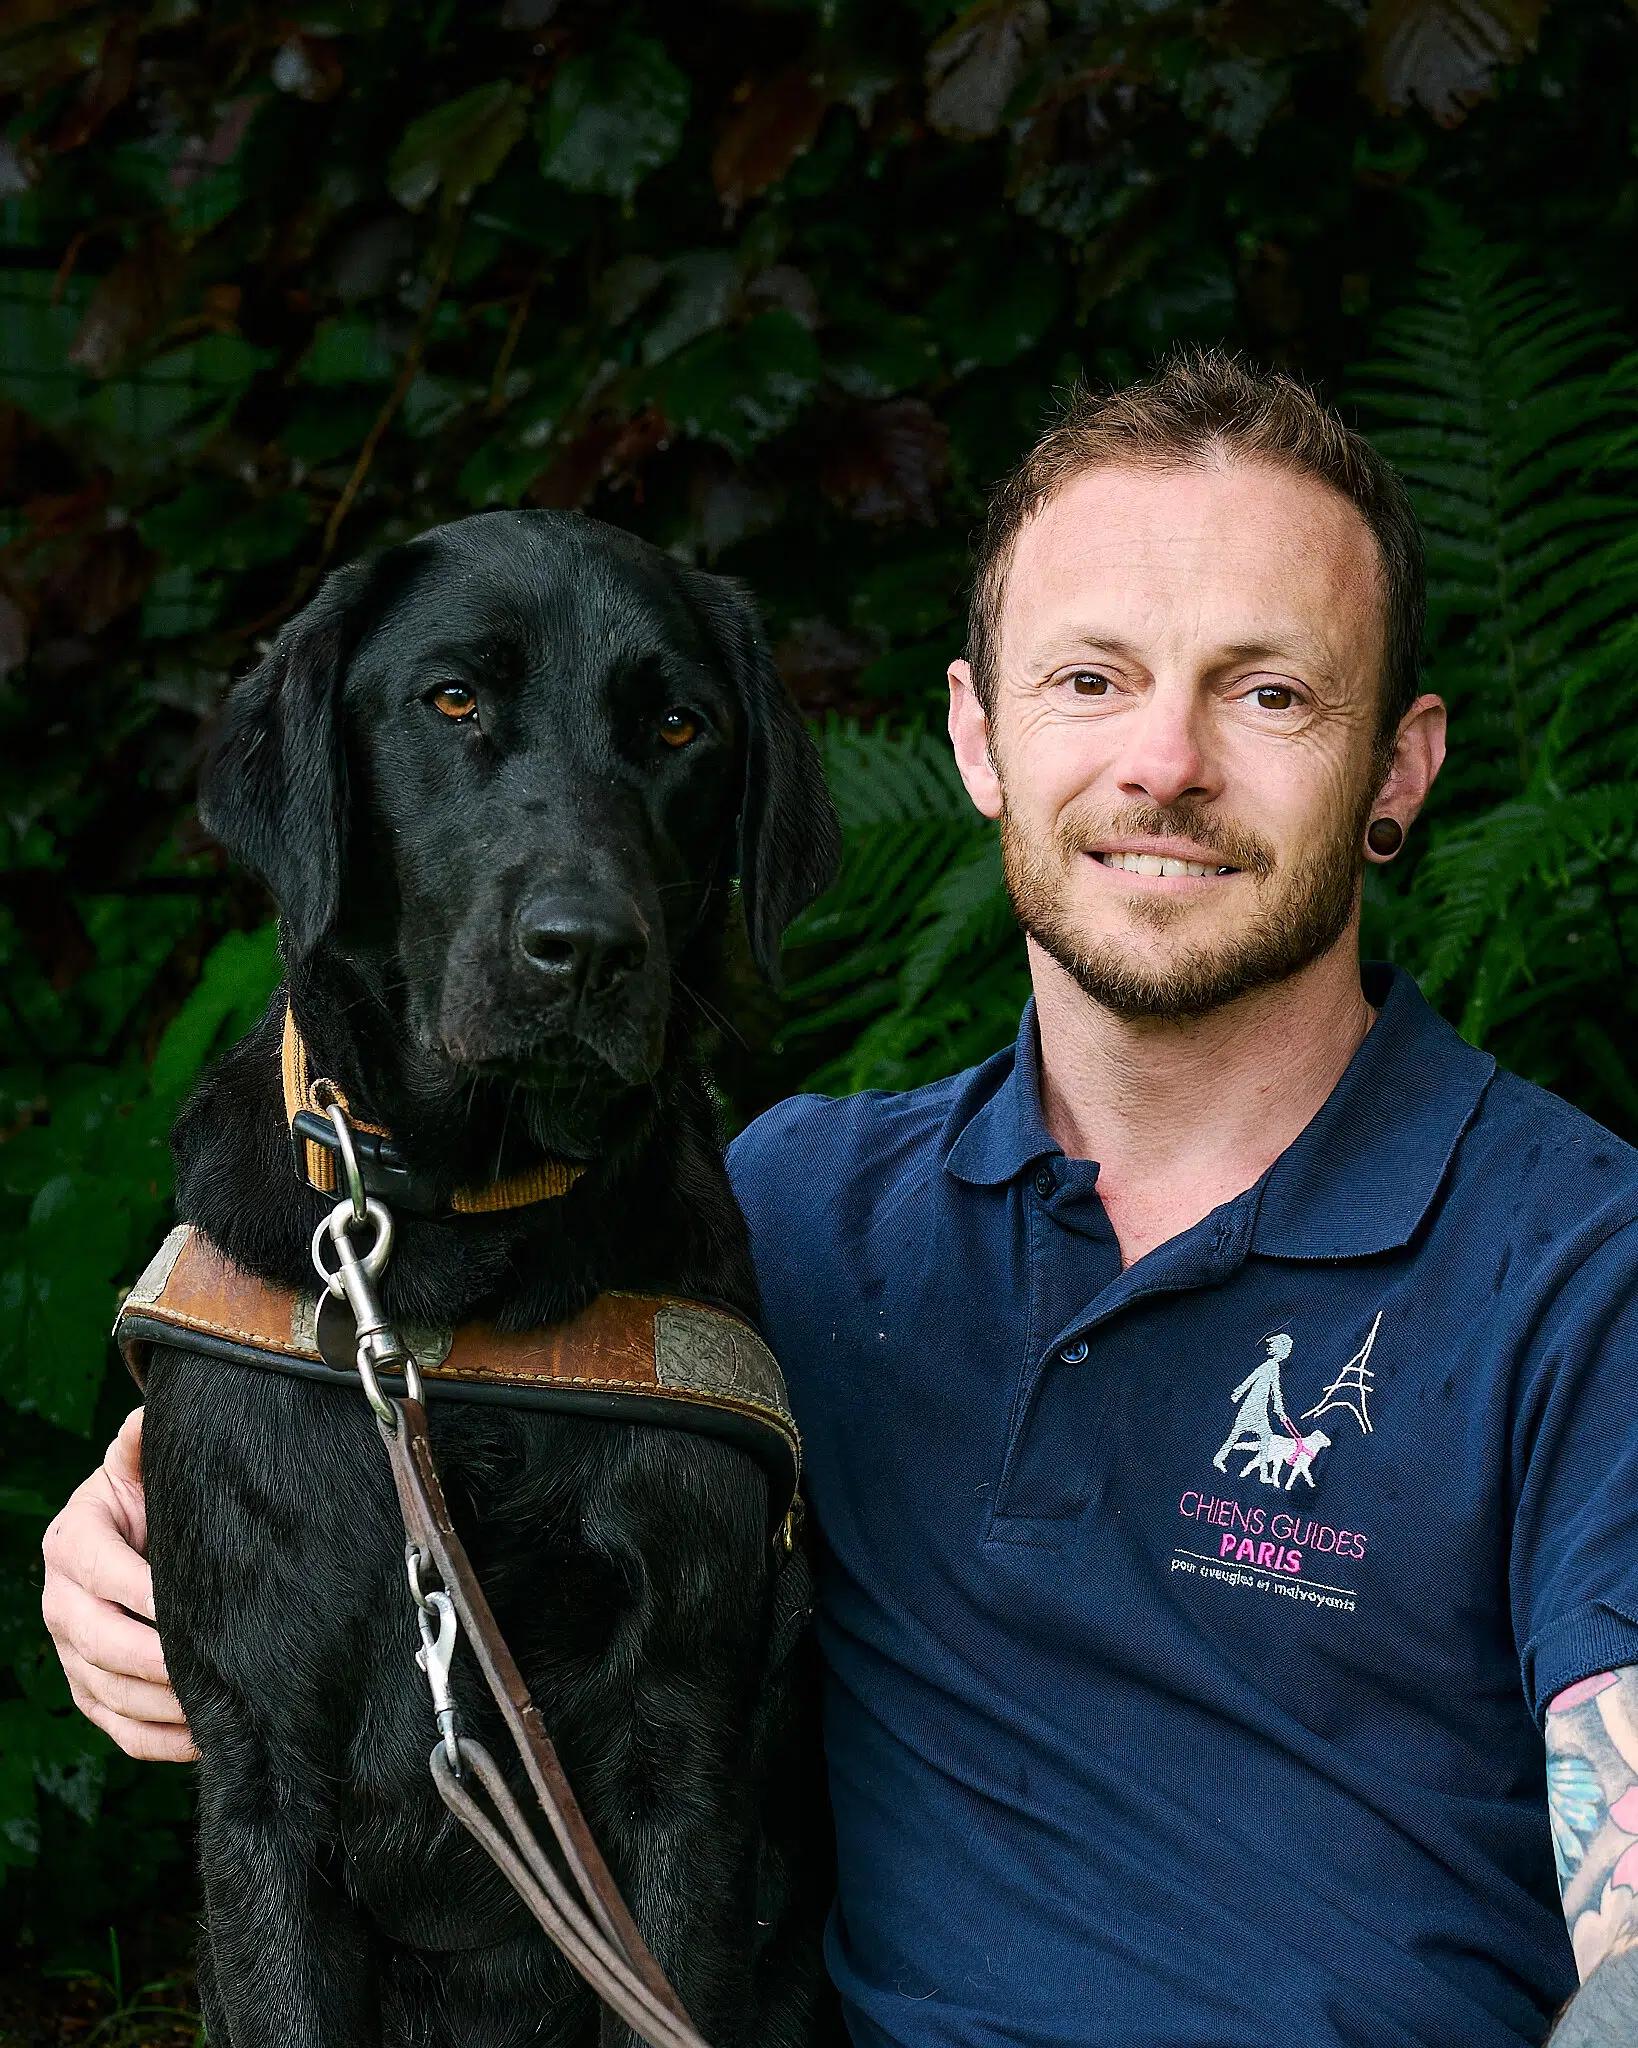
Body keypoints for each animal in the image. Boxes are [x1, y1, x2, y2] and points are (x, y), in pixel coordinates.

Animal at [141, 516, 843, 2048]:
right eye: (453, 699)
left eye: (679, 725)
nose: (584, 949)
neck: (457, 1262)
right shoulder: (261, 1769)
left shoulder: (673, 1764)